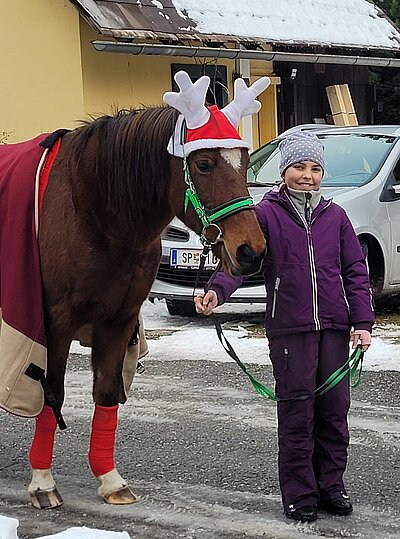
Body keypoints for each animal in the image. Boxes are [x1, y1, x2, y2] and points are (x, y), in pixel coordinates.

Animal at [25, 73, 268, 510]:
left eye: (243, 162)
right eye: (203, 164)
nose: (251, 250)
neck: (92, 208)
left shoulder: (117, 320)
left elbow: (106, 394)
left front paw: (110, 480)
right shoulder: (55, 323)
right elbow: (51, 394)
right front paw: (42, 482)